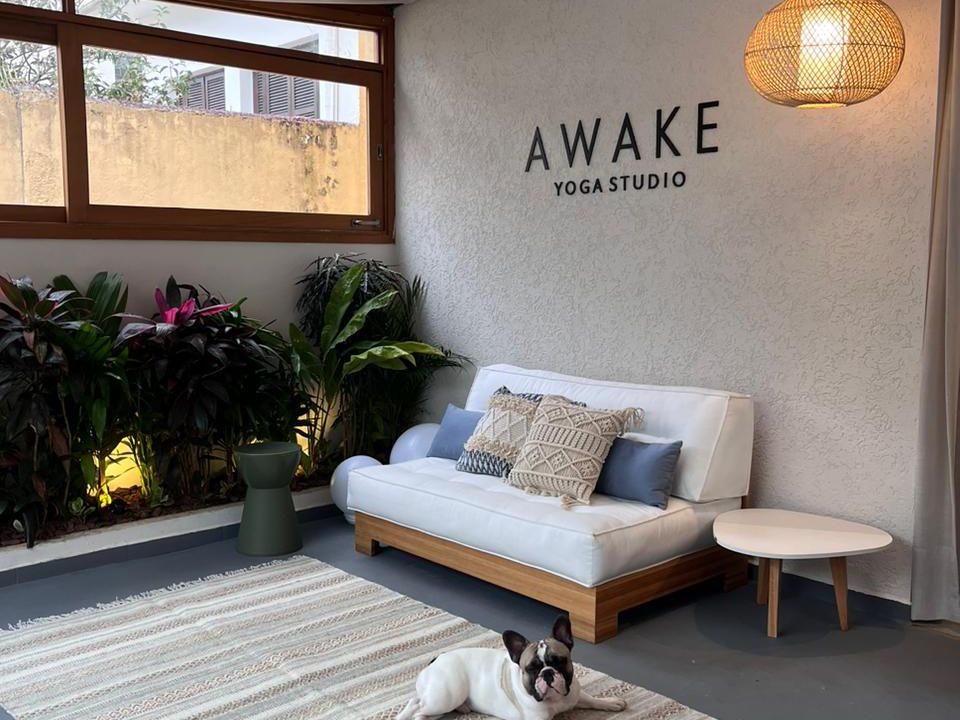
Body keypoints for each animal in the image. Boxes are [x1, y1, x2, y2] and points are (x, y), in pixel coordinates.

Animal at [396, 615, 627, 719]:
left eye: (558, 661)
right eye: (531, 669)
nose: (547, 673)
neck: (556, 700)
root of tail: (437, 659)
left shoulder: (573, 693)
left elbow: (589, 698)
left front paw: (610, 702)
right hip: (445, 696)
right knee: (415, 704)